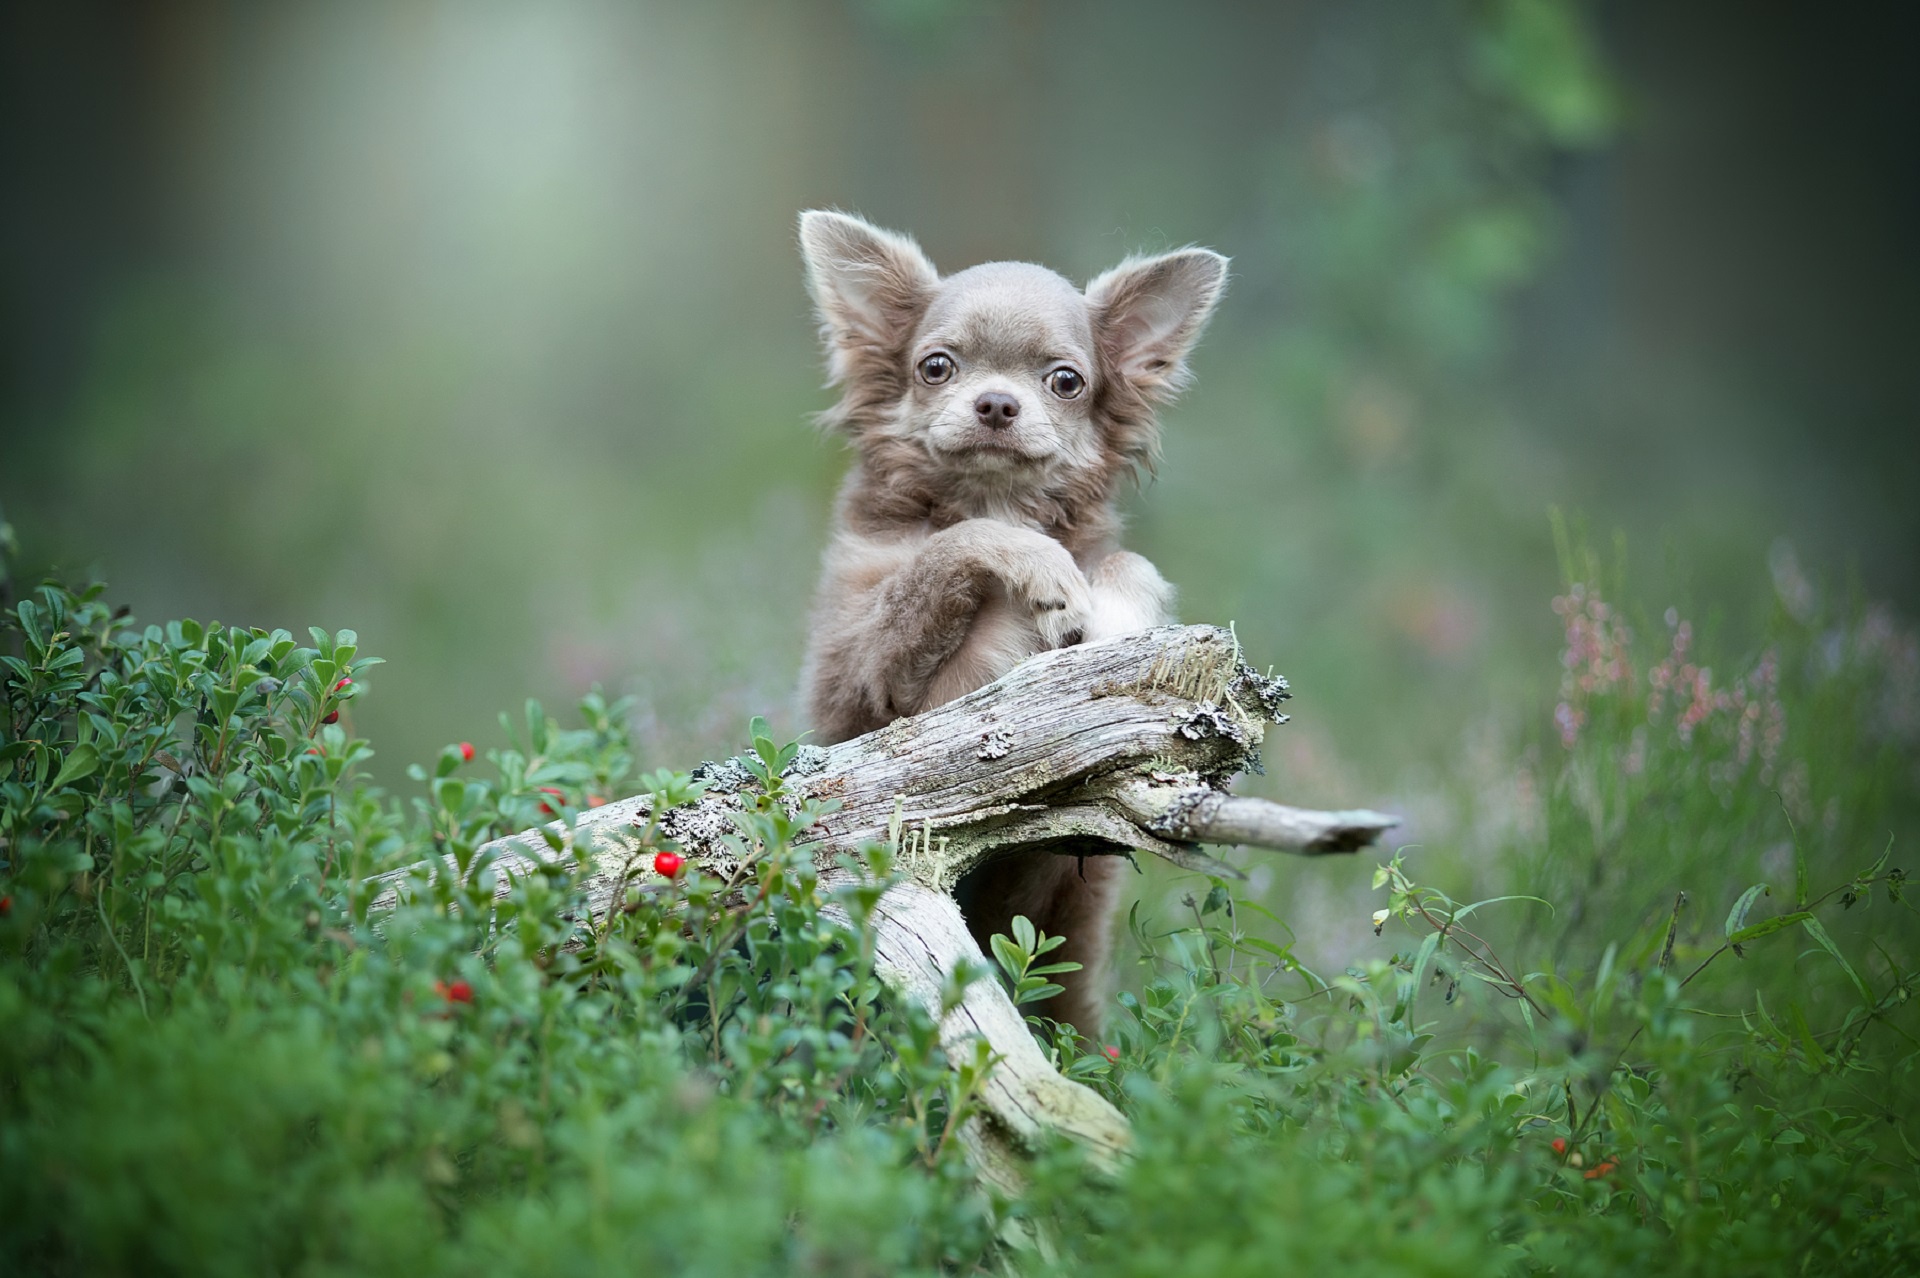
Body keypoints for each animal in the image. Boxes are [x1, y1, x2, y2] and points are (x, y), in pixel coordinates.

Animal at [798, 209, 1228, 1028]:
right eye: (936, 367)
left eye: (1065, 381)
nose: (997, 404)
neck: (993, 497)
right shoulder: (863, 686)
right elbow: (961, 544)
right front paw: (1044, 571)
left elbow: (1129, 564)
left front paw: (1109, 607)